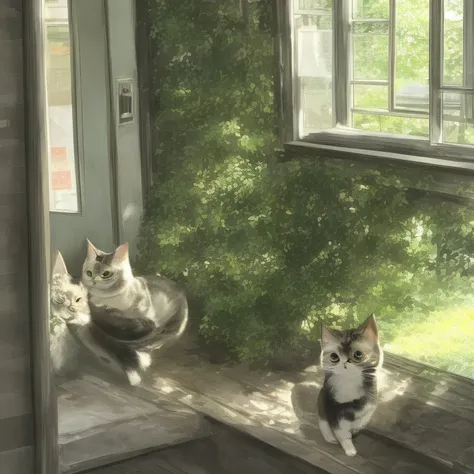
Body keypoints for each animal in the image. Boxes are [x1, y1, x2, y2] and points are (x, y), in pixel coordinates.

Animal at [316, 314, 384, 456]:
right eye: (334, 356)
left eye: (358, 354)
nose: (345, 362)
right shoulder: (333, 406)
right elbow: (341, 431)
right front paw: (350, 450)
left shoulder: (369, 405)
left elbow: (360, 422)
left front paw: (353, 435)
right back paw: (331, 439)